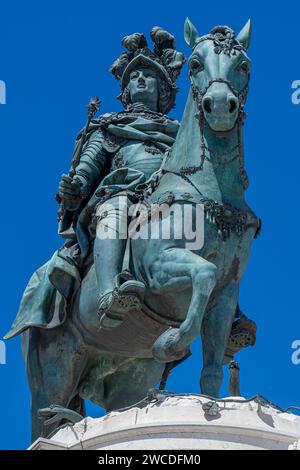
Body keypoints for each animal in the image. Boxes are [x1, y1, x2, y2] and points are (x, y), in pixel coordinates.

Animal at [19, 19, 258, 444]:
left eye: (243, 64)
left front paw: (211, 403)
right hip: (53, 371)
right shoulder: (160, 268)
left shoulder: (227, 293)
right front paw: (171, 340)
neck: (210, 194)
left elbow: (212, 370)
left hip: (128, 375)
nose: (219, 106)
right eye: (195, 62)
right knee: (43, 422)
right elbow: (203, 271)